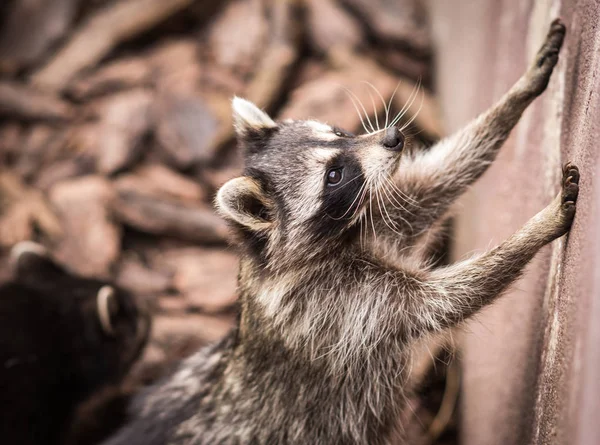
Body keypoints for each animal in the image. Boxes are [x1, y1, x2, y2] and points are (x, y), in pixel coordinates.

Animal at [105, 19, 576, 442]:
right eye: (334, 175)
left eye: (337, 132)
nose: (393, 137)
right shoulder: (339, 306)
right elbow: (442, 300)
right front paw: (535, 229)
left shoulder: (375, 220)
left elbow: (440, 179)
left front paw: (520, 92)